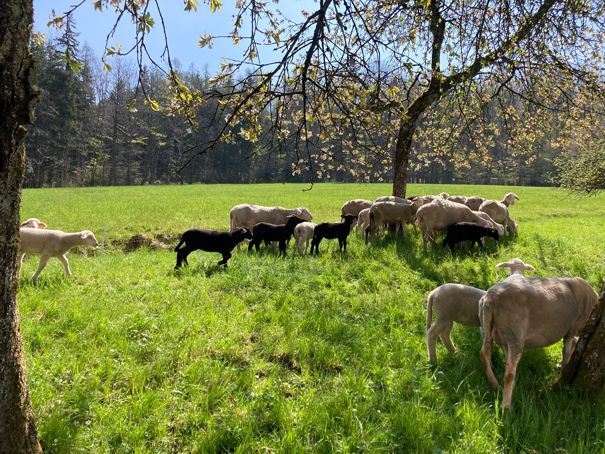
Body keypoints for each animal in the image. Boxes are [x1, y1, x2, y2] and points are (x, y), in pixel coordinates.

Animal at [478, 274, 596, 410]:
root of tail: (490, 299)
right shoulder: (572, 329)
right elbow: (566, 352)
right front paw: (564, 370)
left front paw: (561, 366)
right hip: (515, 333)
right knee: (509, 371)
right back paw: (506, 405)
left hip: (489, 327)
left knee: (485, 353)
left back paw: (495, 385)